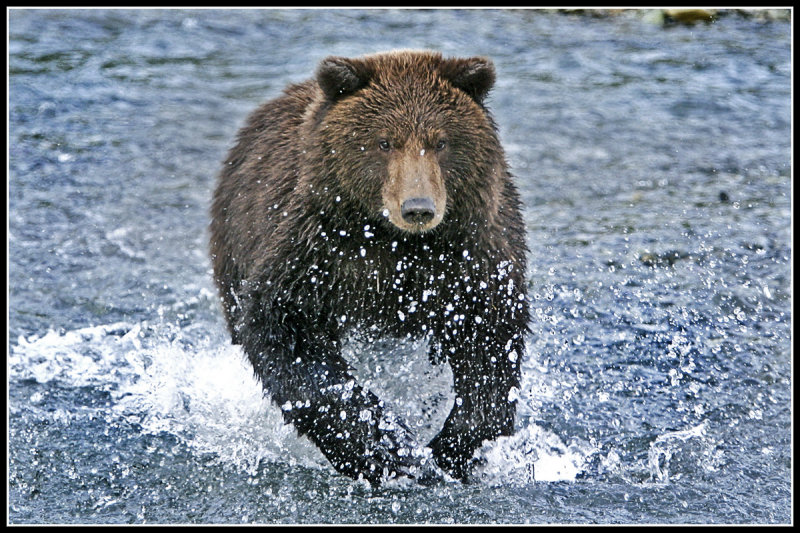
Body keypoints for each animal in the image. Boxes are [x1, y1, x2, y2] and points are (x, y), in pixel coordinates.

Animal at [209, 48, 528, 482]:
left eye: (441, 141)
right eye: (384, 141)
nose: (418, 208)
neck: (394, 242)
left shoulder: (471, 260)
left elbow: (492, 344)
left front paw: (449, 449)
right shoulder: (314, 253)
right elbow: (286, 335)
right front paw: (390, 450)